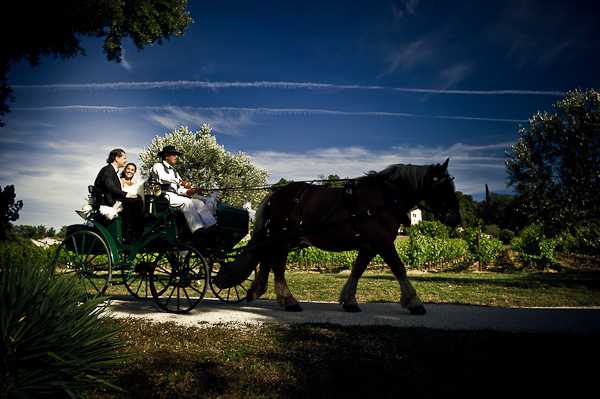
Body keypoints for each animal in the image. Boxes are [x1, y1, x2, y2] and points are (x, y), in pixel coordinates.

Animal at [214, 159, 460, 316]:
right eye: (443, 187)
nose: (456, 218)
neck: (384, 198)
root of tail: (275, 194)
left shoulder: (369, 246)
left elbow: (357, 270)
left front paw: (349, 300)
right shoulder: (382, 242)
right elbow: (399, 268)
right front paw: (414, 302)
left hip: (281, 239)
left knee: (268, 260)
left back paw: (266, 293)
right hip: (281, 238)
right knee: (277, 265)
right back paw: (288, 300)